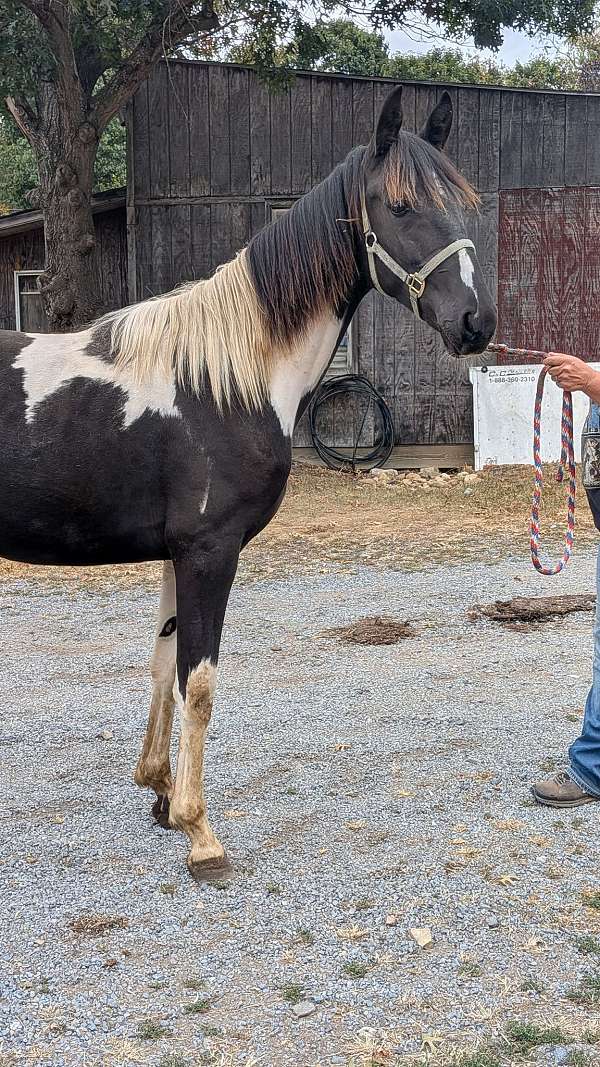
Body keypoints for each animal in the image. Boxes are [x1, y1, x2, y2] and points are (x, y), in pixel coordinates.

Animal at [0, 87, 497, 881]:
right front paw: (200, 832)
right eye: (399, 205)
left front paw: (160, 792)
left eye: (461, 201)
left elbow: (165, 663)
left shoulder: (178, 554)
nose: (477, 322)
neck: (228, 377)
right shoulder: (210, 549)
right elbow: (199, 682)